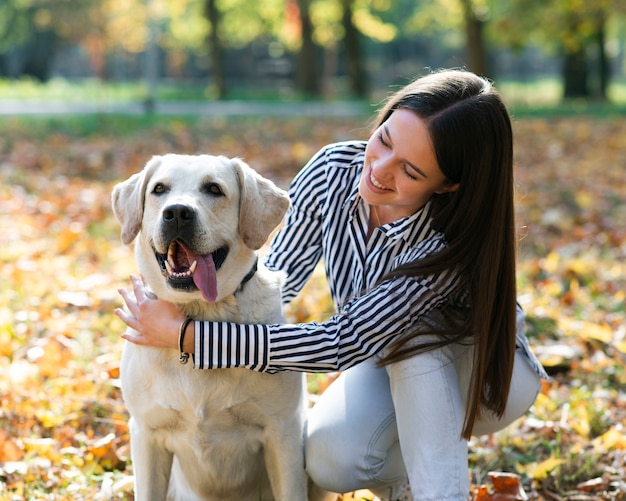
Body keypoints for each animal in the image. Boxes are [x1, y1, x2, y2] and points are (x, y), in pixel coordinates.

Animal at [111, 154, 322, 500]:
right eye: (159, 189)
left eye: (214, 189)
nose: (177, 213)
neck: (201, 315)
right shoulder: (146, 433)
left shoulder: (284, 432)